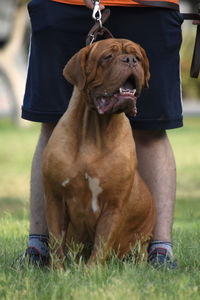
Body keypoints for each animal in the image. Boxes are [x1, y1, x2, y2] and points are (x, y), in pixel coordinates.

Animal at [42, 38, 156, 270]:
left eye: (138, 58)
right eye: (107, 57)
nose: (130, 60)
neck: (94, 131)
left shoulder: (114, 204)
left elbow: (102, 244)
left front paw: (91, 273)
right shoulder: (55, 198)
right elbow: (56, 242)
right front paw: (58, 272)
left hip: (142, 241)